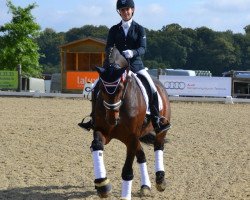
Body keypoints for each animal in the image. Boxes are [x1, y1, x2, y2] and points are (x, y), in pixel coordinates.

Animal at [89, 47, 171, 199]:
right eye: (101, 88)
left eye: (121, 87)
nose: (111, 119)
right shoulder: (103, 131)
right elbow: (97, 145)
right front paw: (103, 185)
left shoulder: (132, 137)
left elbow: (127, 171)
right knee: (142, 155)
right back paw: (145, 186)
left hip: (160, 130)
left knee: (158, 146)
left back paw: (160, 180)